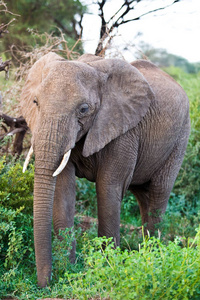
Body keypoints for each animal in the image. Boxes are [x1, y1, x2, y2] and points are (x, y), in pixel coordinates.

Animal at [20, 52, 191, 288]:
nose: (44, 284)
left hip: (181, 137)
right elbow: (63, 188)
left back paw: (152, 255)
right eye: (35, 102)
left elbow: (107, 188)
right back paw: (145, 252)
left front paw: (106, 267)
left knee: (159, 193)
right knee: (143, 197)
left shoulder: (124, 131)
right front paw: (68, 270)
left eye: (84, 109)